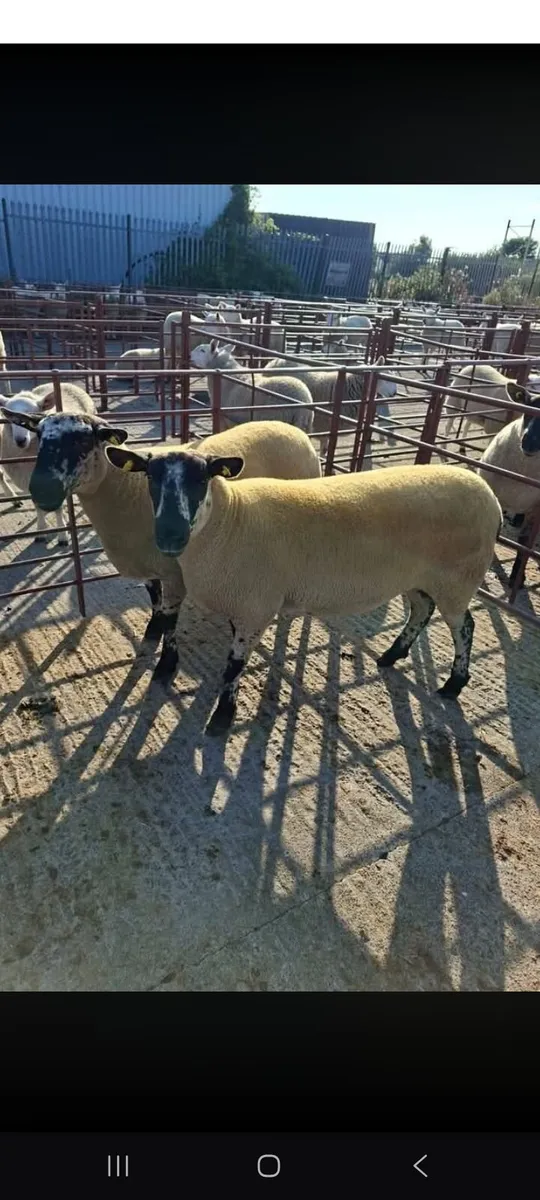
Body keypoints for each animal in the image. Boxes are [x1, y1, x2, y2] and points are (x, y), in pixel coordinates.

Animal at [0, 382, 95, 545]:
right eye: (10, 418)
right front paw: (41, 531)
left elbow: (58, 509)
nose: (20, 441)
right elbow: (38, 508)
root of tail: (66, 383)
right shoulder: (31, 482)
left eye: (32, 415)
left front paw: (62, 535)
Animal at [6, 411, 321, 685]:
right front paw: (152, 631)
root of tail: (293, 429)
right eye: (39, 436)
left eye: (83, 441)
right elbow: (154, 599)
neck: (127, 492)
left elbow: (170, 618)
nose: (41, 490)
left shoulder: (174, 572)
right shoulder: (147, 563)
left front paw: (166, 663)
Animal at [104, 453, 502, 736]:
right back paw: (391, 656)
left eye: (202, 479)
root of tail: (489, 495)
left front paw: (222, 718)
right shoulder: (245, 604)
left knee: (464, 625)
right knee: (422, 609)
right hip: (418, 577)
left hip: (458, 578)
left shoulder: (255, 605)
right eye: (150, 477)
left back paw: (453, 685)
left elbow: (233, 666)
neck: (230, 521)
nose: (170, 536)